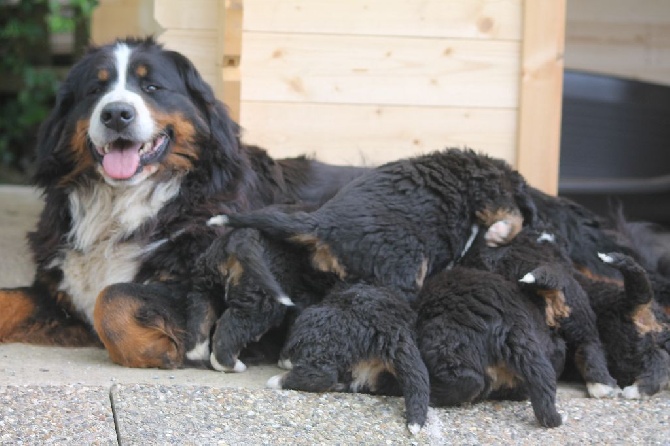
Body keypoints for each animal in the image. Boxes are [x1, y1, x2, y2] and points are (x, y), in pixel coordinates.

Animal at [0, 37, 368, 366]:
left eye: (152, 87)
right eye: (95, 90)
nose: (116, 113)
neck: (124, 204)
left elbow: (112, 297)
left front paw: (154, 349)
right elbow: (10, 299)